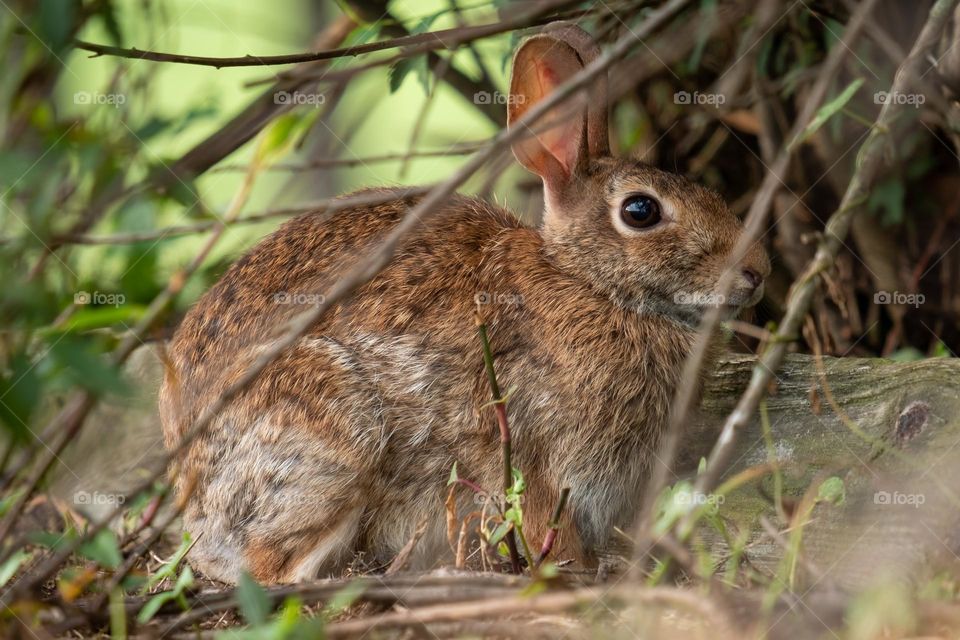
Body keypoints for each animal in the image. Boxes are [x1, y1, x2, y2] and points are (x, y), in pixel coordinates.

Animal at [161, 21, 768, 584]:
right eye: (641, 211)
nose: (757, 272)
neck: (586, 282)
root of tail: (189, 489)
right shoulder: (536, 452)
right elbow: (548, 525)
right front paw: (572, 571)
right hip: (330, 437)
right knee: (270, 565)